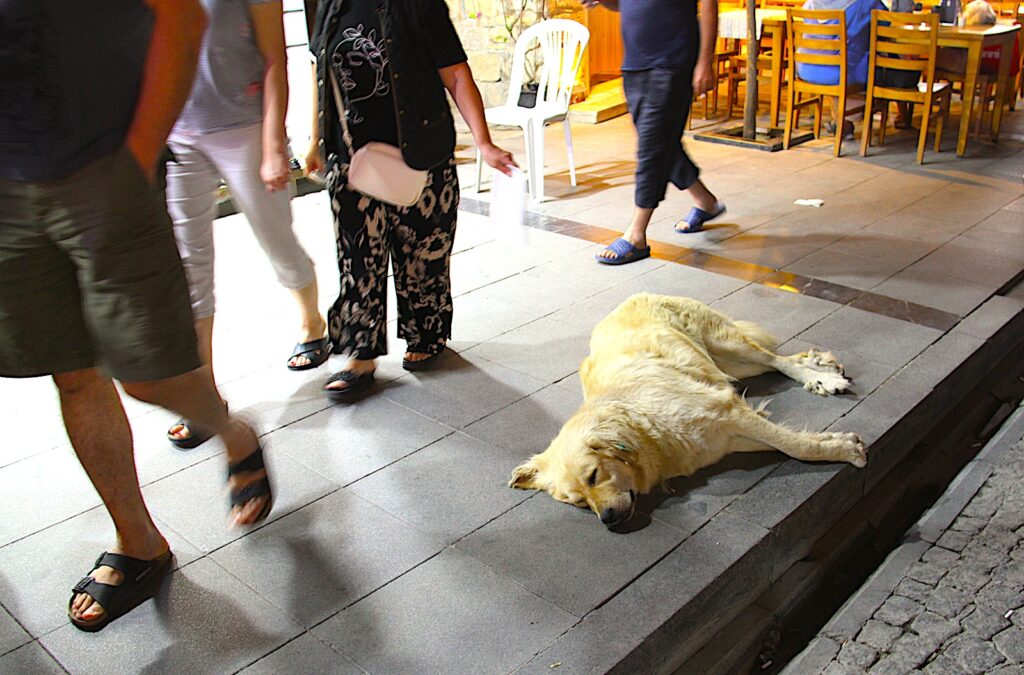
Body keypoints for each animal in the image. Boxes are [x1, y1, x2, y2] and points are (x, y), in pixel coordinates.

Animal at [507, 294, 868, 528]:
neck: (645, 428)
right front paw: (834, 442)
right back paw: (821, 374)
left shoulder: (729, 411)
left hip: (728, 346)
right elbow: (791, 442)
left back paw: (823, 377)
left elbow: (797, 447)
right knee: (785, 361)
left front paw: (847, 450)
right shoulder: (730, 436)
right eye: (579, 503)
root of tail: (633, 296)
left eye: (594, 476)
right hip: (729, 365)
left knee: (775, 359)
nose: (608, 520)